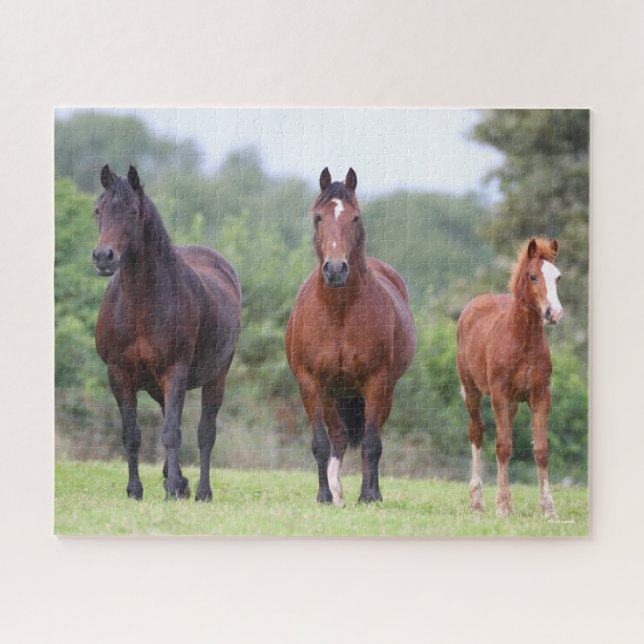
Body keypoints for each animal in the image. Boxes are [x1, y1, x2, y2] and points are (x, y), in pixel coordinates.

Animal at [92, 165, 241, 501]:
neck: (141, 303)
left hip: (216, 377)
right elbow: (132, 434)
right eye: (98, 211)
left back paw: (201, 491)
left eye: (133, 211)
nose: (103, 256)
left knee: (205, 433)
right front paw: (135, 490)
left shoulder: (175, 371)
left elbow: (173, 433)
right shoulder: (118, 374)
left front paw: (173, 488)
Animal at [285, 168, 416, 506]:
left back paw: (368, 491)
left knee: (372, 436)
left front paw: (369, 496)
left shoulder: (376, 382)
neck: (339, 313)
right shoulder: (310, 383)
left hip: (382, 392)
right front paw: (324, 495)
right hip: (334, 393)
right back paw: (336, 491)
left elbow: (371, 443)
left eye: (355, 217)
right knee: (339, 438)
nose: (335, 269)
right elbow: (321, 443)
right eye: (318, 217)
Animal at [456, 238, 563, 517]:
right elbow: (503, 447)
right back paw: (477, 500)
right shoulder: (500, 395)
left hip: (513, 403)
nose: (554, 313)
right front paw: (502, 505)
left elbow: (541, 450)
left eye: (558, 277)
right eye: (533, 276)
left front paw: (548, 507)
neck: (522, 342)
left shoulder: (540, 396)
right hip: (472, 391)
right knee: (477, 433)